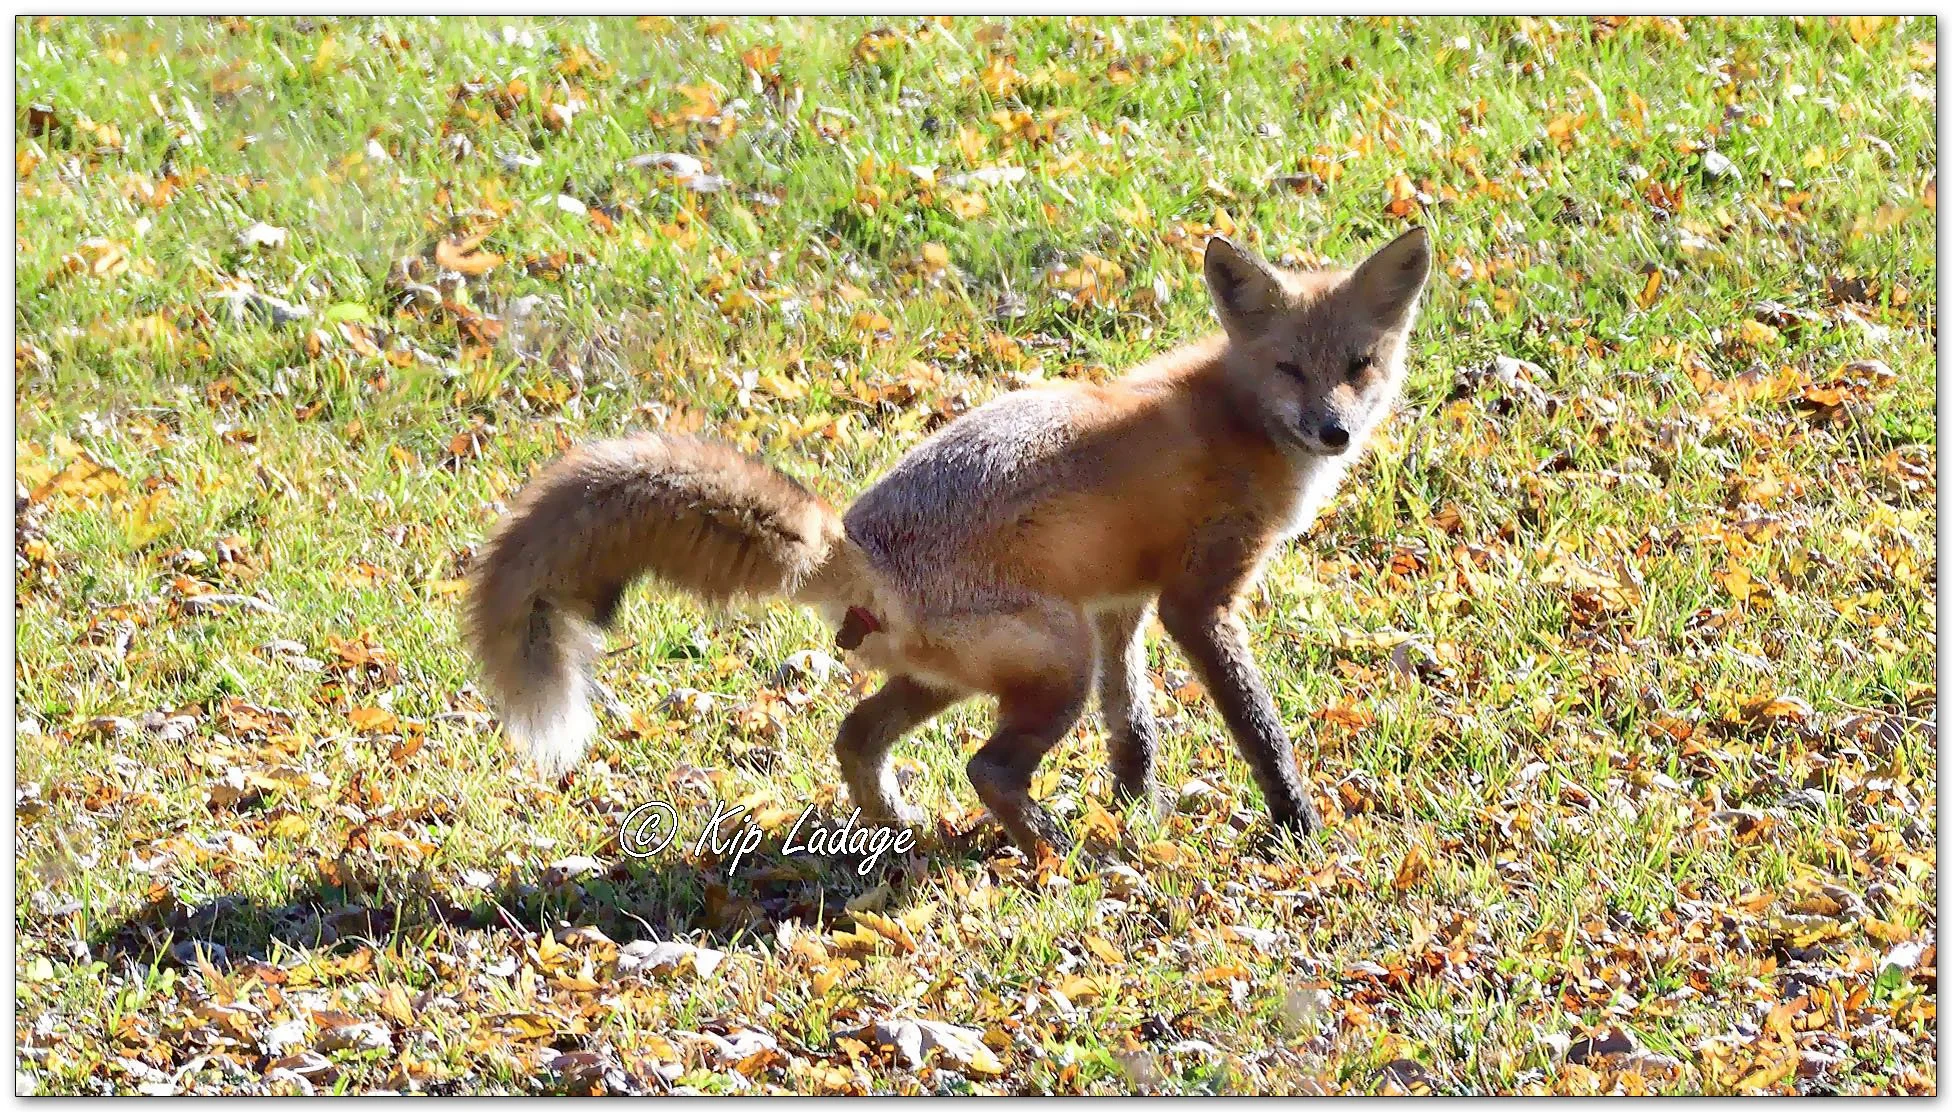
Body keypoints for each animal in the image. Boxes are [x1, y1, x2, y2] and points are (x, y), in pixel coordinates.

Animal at [467, 226, 1432, 854]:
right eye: (1289, 369)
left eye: (1359, 367)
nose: (1334, 431)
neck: (1234, 418)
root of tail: (852, 544)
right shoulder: (1196, 603)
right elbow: (1259, 728)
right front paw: (1299, 828)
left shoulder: (1122, 606)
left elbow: (1134, 728)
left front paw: (1136, 809)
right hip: (1055, 661)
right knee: (988, 769)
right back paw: (1053, 850)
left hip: (964, 671)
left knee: (856, 736)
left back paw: (900, 829)